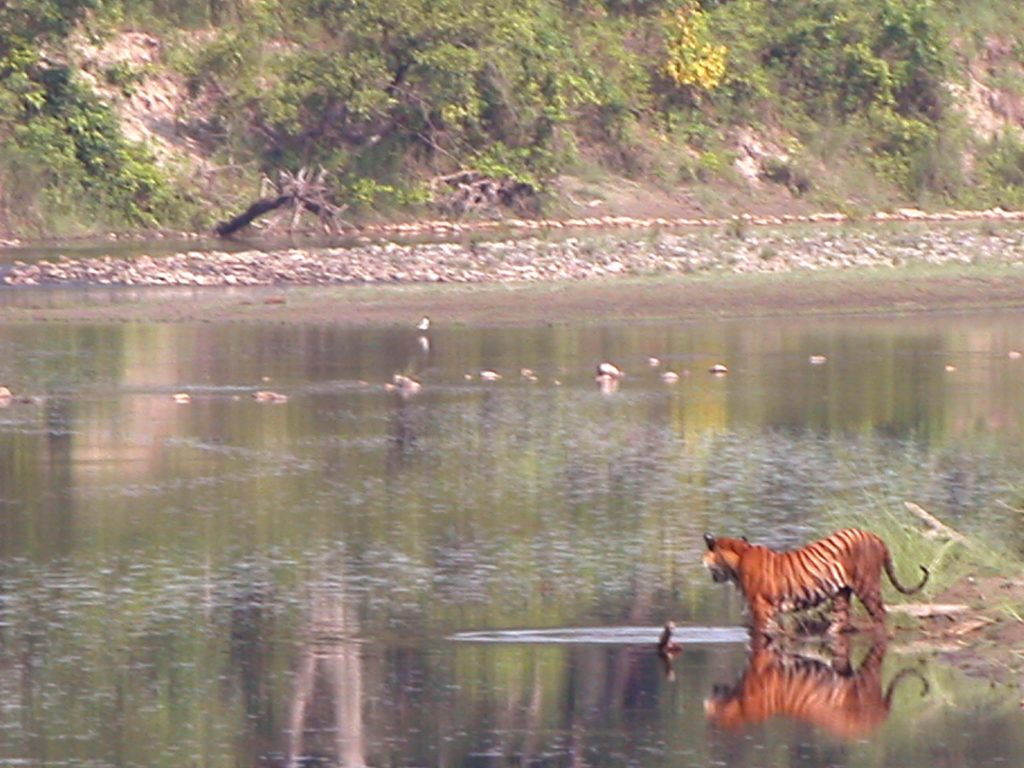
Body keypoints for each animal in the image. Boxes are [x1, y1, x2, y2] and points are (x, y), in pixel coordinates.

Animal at [704, 528, 929, 638]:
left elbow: (760, 631)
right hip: (841, 592)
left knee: (880, 613)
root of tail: (875, 536)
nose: (703, 562)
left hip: (867, 585)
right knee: (842, 618)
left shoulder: (760, 607)